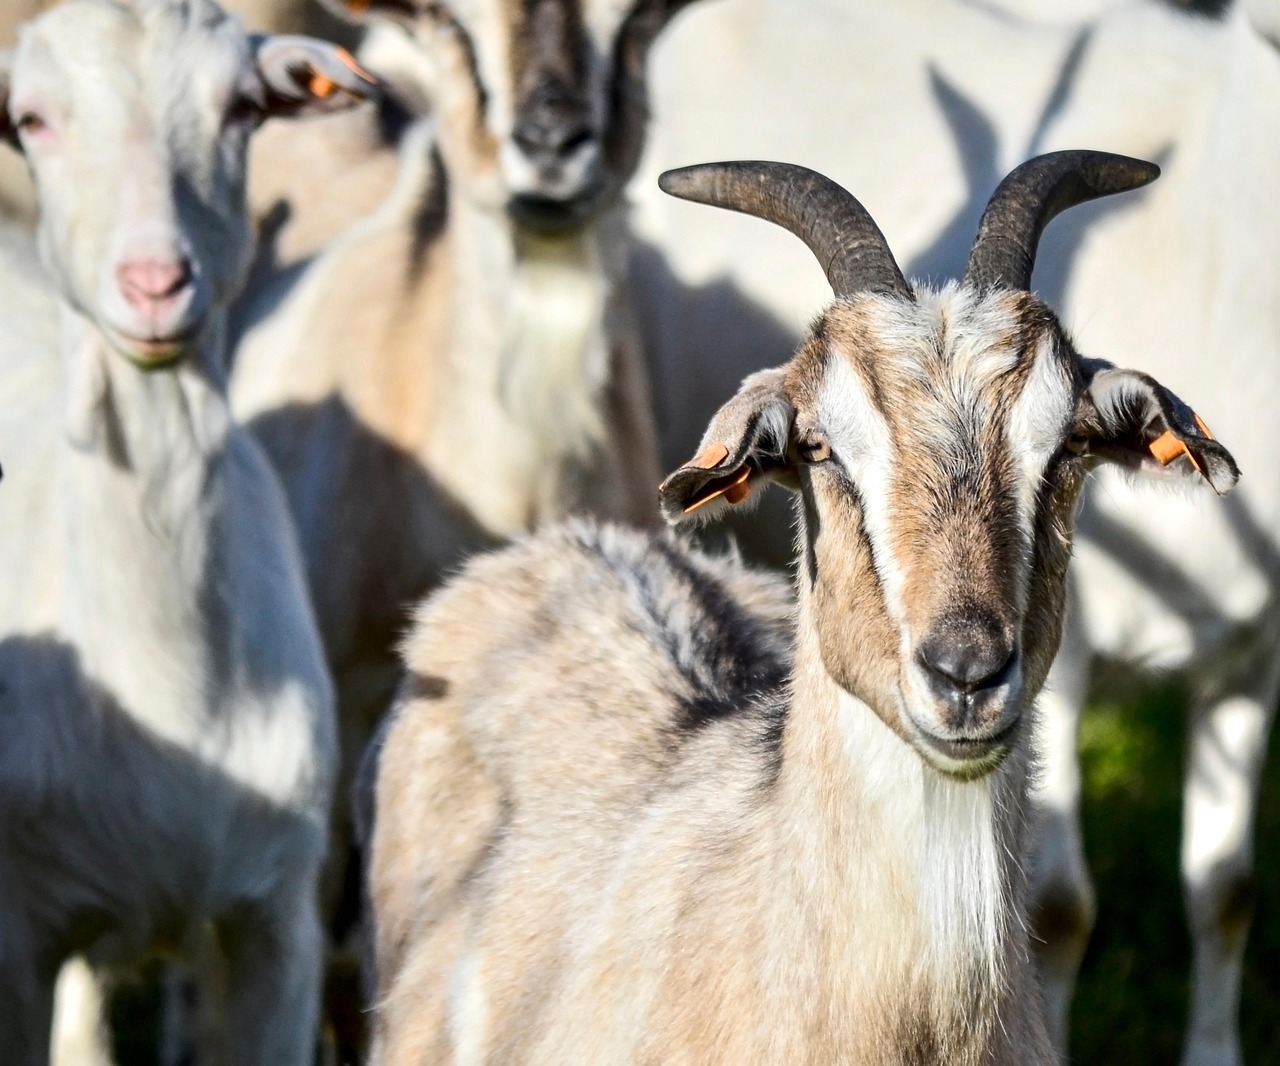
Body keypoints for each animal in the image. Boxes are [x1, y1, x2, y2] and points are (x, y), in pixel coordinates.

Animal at [633, 2, 1278, 1060]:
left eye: (1072, 444)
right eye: (818, 448)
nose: (967, 674)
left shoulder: (1253, 655)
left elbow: (1224, 891)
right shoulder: (1081, 659)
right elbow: (1061, 907)